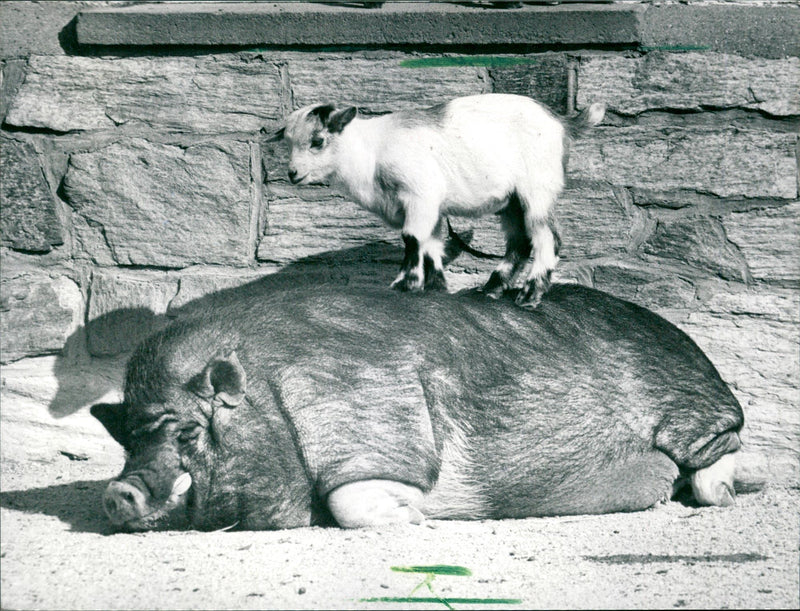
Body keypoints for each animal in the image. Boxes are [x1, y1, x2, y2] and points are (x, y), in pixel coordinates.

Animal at [92, 283, 743, 532]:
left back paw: (731, 489)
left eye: (185, 433)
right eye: (128, 440)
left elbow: (351, 500)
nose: (117, 490)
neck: (274, 395)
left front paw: (416, 517)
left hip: (690, 408)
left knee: (724, 448)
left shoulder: (379, 433)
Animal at [275, 93, 605, 306]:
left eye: (318, 141)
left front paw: (405, 284)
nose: (292, 174)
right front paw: (435, 287)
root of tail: (562, 123)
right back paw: (491, 289)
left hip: (537, 189)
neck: (370, 153)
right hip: (511, 201)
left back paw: (529, 296)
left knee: (547, 238)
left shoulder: (420, 193)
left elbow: (411, 238)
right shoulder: (428, 206)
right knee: (520, 242)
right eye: (287, 143)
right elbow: (431, 243)